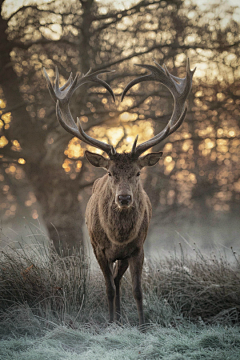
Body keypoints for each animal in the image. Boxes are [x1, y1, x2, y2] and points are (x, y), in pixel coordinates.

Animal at [44, 58, 195, 326]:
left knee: (118, 279)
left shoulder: (137, 249)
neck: (118, 237)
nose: (124, 198)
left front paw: (142, 326)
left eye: (138, 173)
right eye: (110, 173)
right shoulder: (99, 250)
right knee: (113, 283)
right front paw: (110, 323)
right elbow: (108, 289)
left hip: (124, 257)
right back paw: (115, 317)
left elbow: (136, 289)